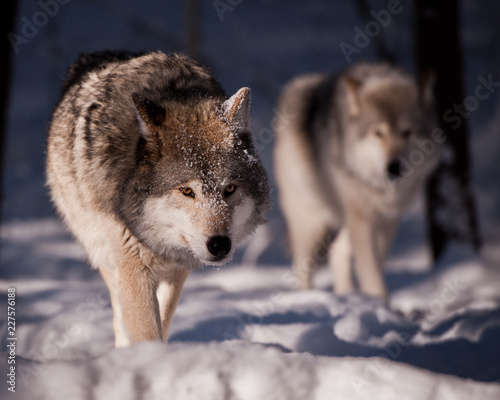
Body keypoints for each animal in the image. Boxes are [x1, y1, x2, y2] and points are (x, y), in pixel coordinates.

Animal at [47, 50, 270, 346]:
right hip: (104, 256)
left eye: (230, 189)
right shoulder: (134, 268)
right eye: (186, 191)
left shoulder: (177, 271)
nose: (220, 245)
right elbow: (145, 332)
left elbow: (162, 323)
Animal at [276, 63, 440, 300]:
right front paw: (379, 302)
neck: (380, 187)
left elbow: (374, 265)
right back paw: (307, 297)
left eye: (407, 132)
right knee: (303, 268)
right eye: (378, 132)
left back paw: (346, 295)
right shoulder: (362, 220)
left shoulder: (387, 219)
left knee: (336, 251)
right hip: (311, 221)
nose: (394, 167)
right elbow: (371, 272)